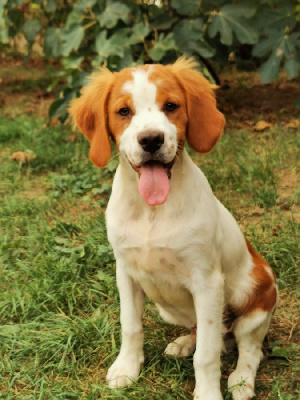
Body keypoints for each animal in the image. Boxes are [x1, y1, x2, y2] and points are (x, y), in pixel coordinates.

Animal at [69, 57, 276, 400]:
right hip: (167, 307)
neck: (151, 211)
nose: (151, 140)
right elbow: (131, 326)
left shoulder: (207, 282)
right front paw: (126, 369)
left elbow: (207, 355)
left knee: (247, 347)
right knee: (208, 331)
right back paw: (183, 343)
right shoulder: (125, 272)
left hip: (258, 296)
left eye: (171, 106)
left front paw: (208, 393)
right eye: (123, 111)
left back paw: (241, 380)